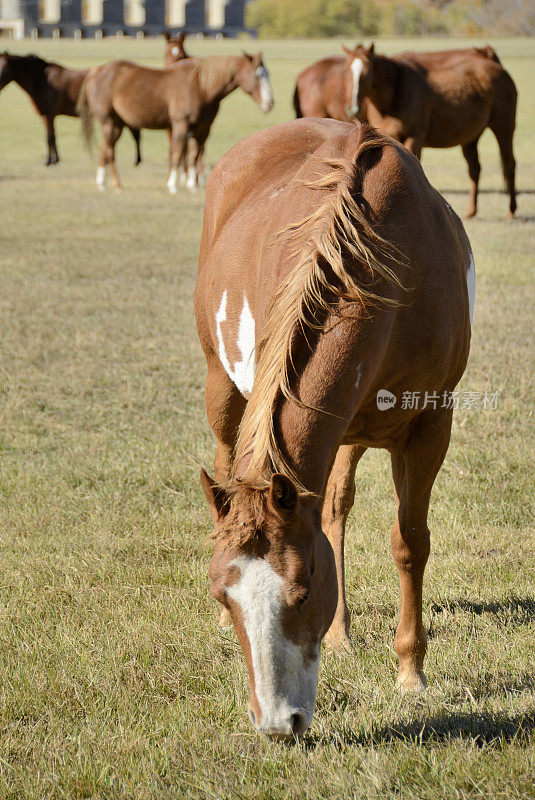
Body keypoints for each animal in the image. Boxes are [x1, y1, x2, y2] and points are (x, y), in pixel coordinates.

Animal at [0, 51, 141, 167]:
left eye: (4, 68)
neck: (41, 80)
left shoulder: (48, 115)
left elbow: (50, 138)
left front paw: (49, 161)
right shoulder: (47, 116)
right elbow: (52, 136)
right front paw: (55, 159)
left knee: (135, 134)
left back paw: (136, 161)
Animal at [77, 52, 274, 193]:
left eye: (267, 74)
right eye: (257, 75)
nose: (270, 103)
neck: (201, 87)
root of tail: (97, 71)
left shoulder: (203, 129)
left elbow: (194, 155)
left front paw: (192, 184)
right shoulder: (181, 125)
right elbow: (178, 153)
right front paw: (173, 184)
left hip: (117, 124)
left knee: (105, 150)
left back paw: (106, 183)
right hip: (109, 123)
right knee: (109, 151)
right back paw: (112, 184)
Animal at [196, 117, 474, 736]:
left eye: (303, 594)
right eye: (224, 599)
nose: (279, 724)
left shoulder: (430, 425)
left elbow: (409, 542)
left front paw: (410, 672)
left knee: (335, 510)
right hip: (222, 384)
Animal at [346, 43, 516, 219]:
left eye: (367, 70)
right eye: (348, 70)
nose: (353, 108)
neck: (396, 94)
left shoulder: (414, 138)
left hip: (504, 128)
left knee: (509, 164)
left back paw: (511, 211)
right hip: (471, 138)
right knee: (475, 169)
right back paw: (471, 211)